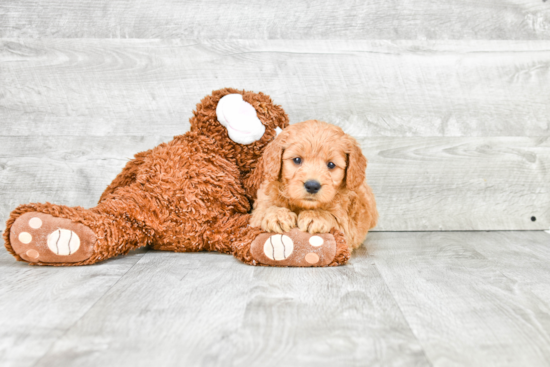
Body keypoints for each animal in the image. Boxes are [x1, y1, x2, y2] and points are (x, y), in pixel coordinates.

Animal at [251, 121, 378, 250]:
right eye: (297, 159)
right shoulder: (257, 212)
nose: (312, 186)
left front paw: (316, 216)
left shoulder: (348, 227)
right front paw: (277, 215)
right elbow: (263, 211)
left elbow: (335, 218)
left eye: (331, 164)